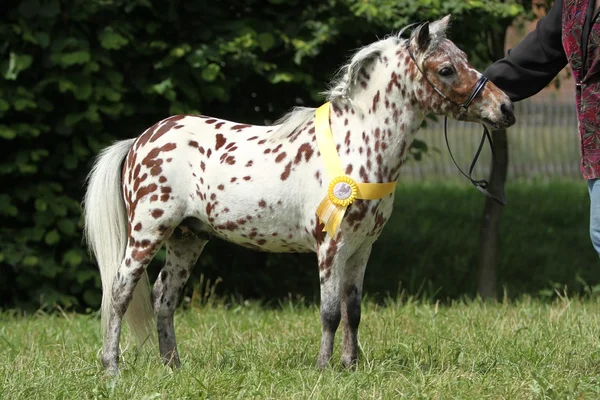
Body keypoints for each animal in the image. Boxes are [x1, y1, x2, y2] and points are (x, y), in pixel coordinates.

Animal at [83, 15, 516, 376]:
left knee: (164, 297)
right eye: (446, 69)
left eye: (464, 59)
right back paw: (112, 368)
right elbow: (330, 313)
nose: (505, 108)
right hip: (148, 232)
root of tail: (140, 141)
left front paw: (350, 367)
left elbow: (353, 311)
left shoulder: (361, 250)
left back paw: (173, 367)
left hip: (188, 238)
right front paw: (324, 369)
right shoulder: (331, 247)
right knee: (119, 292)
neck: (354, 143)